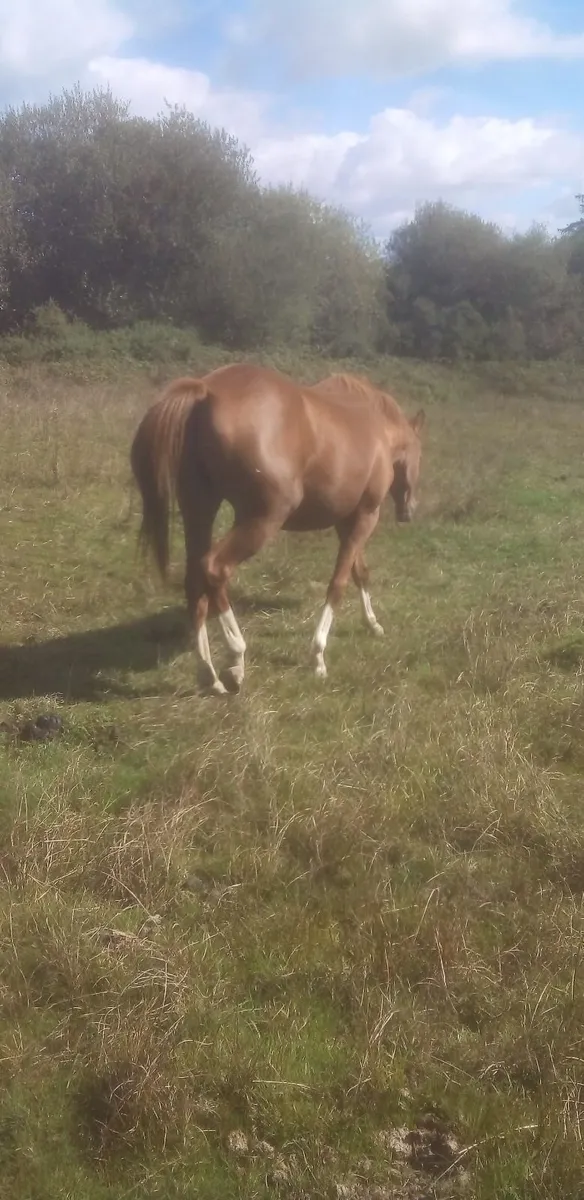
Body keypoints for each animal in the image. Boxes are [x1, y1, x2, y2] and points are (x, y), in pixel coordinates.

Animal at [130, 362, 425, 694]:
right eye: (420, 453)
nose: (409, 511)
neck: (377, 429)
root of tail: (206, 391)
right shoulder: (364, 516)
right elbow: (338, 584)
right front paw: (318, 655)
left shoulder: (346, 521)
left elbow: (359, 572)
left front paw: (372, 624)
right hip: (262, 520)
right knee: (215, 569)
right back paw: (235, 659)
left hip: (199, 511)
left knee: (195, 581)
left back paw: (208, 675)